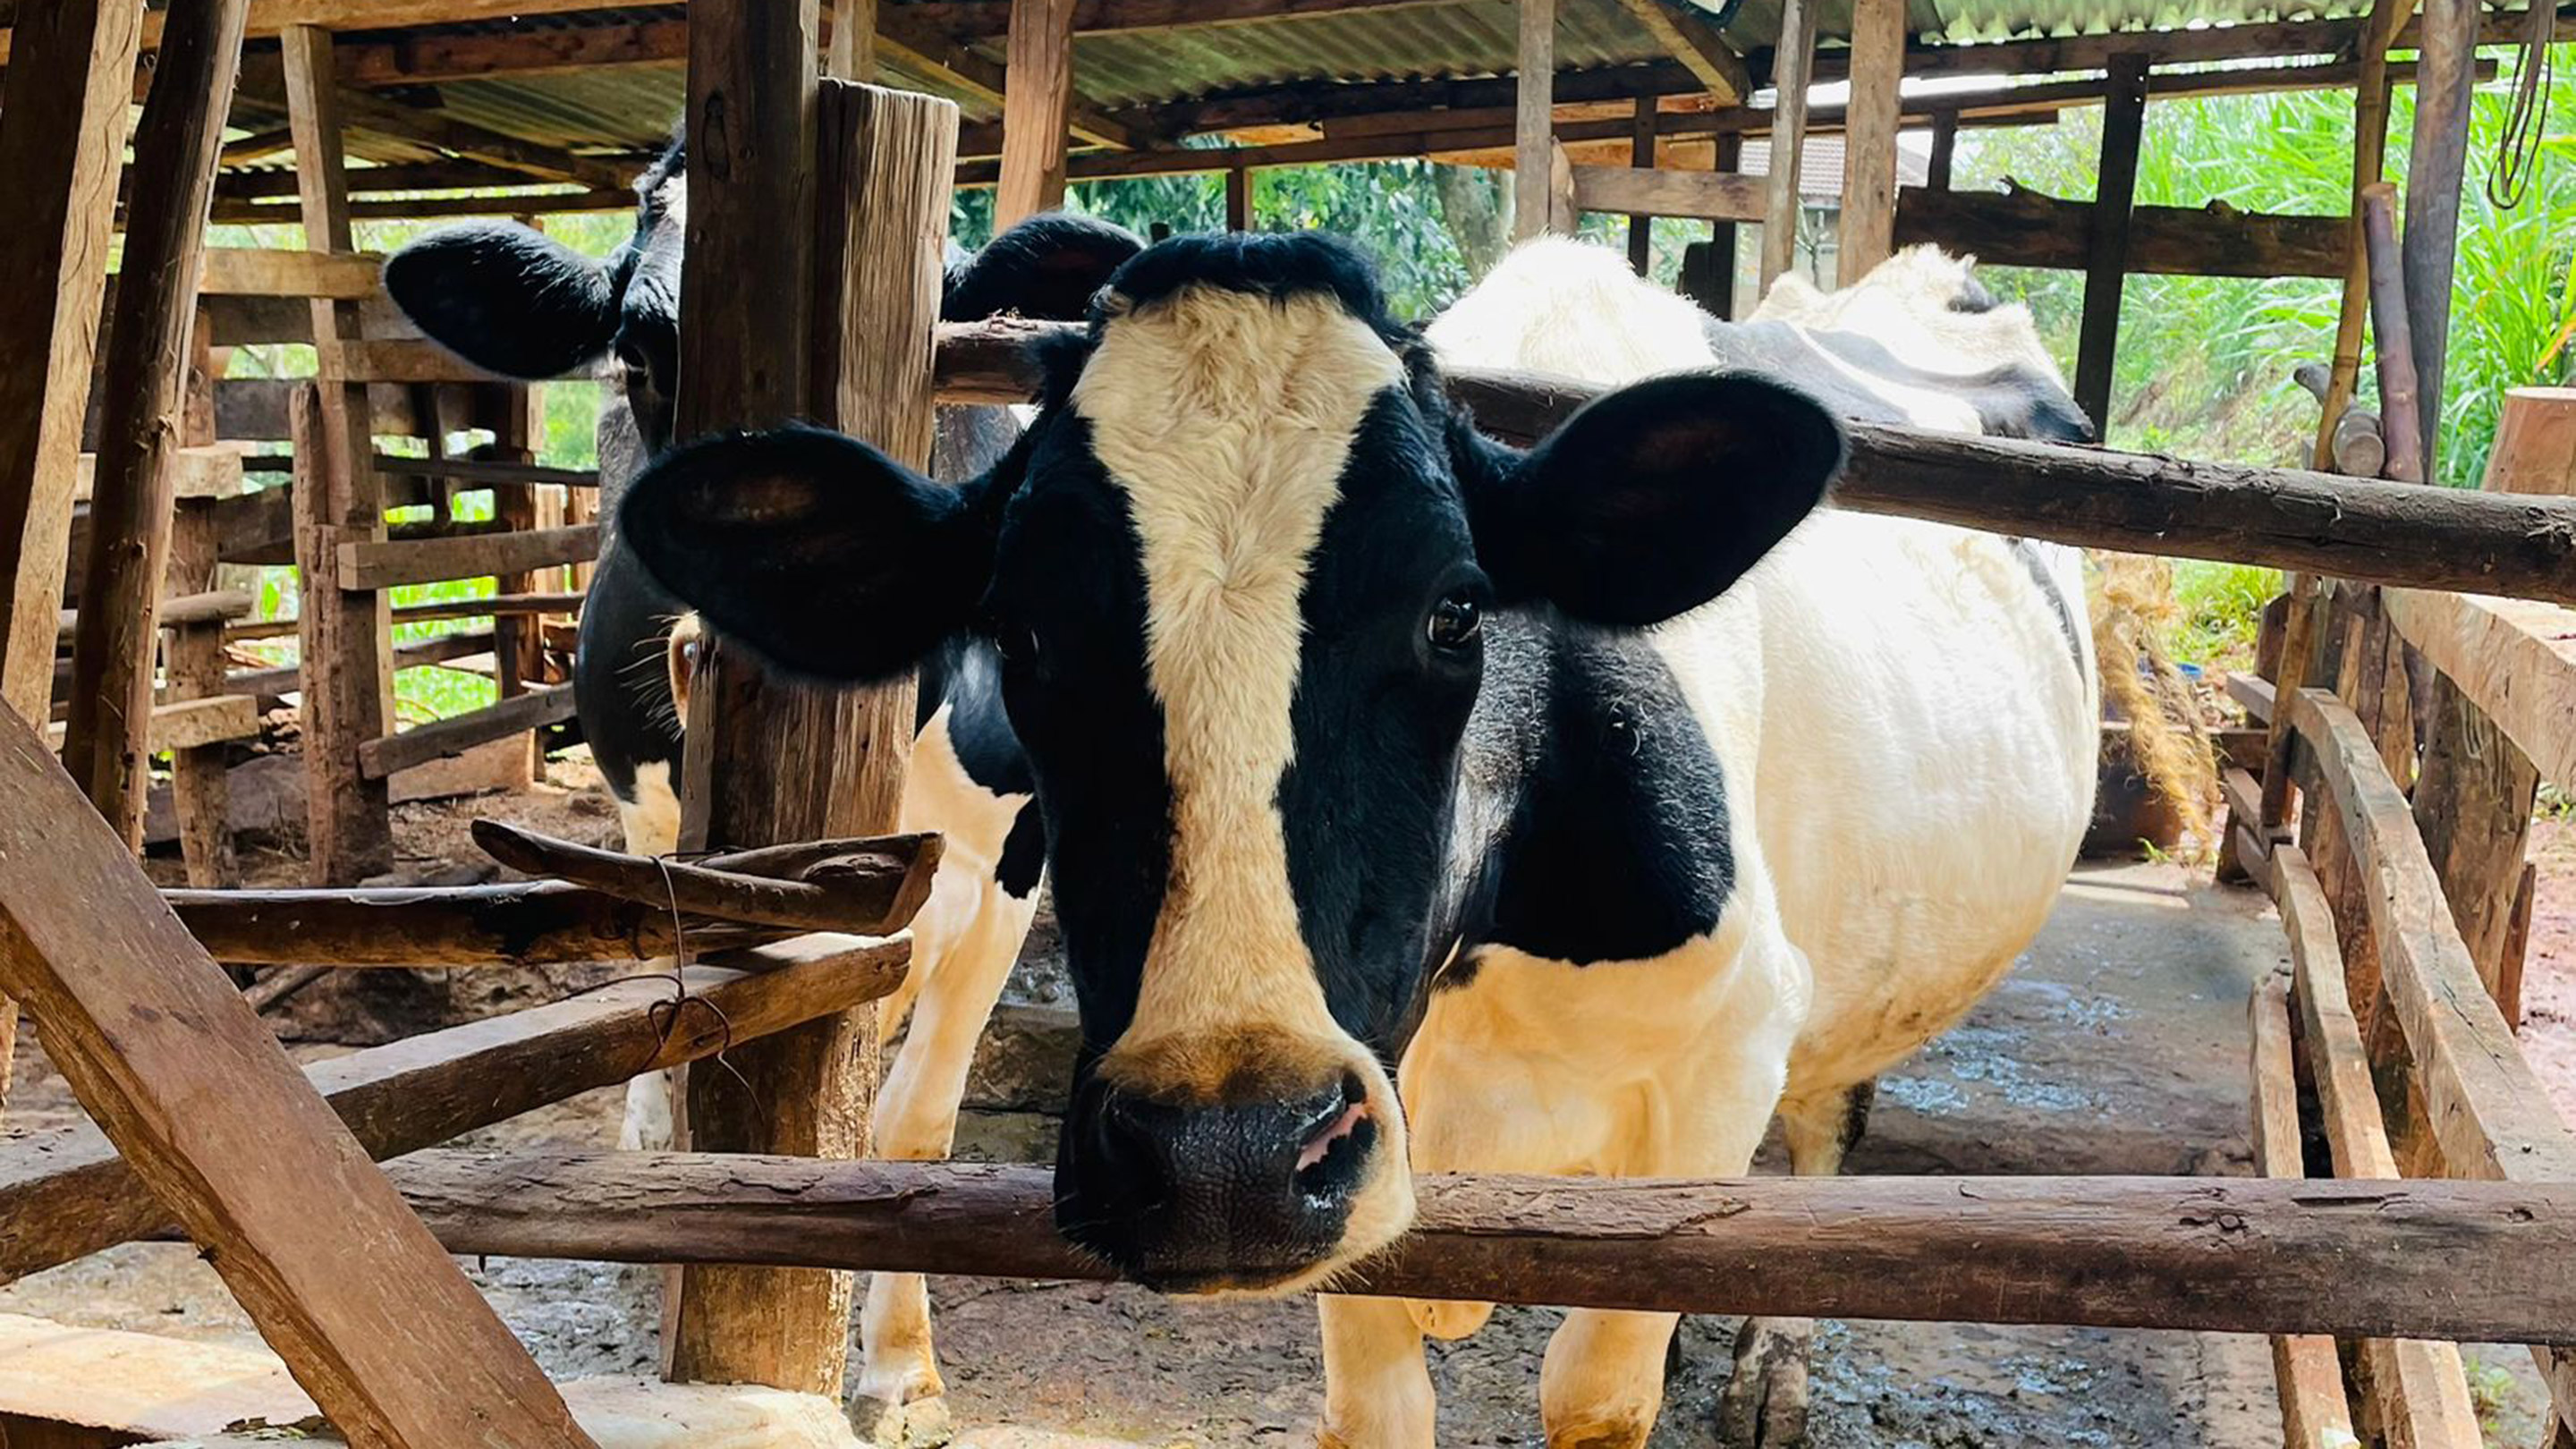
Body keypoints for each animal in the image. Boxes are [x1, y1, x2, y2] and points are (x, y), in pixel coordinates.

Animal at [613, 227, 2099, 1449]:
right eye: (1022, 630)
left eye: (1456, 609)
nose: (1224, 1156)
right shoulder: (1374, 1151)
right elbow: (1381, 1402)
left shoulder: (1724, 1050)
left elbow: (1600, 1386)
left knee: (1830, 1129)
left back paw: (1769, 1365)